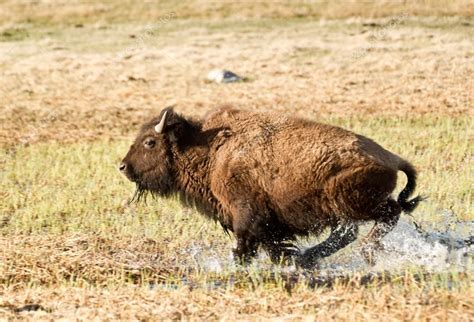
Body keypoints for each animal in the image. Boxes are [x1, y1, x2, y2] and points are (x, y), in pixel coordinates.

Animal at [119, 107, 422, 268]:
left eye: (150, 142)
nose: (123, 167)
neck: (210, 148)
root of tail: (392, 158)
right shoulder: (264, 224)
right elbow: (272, 245)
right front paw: (289, 259)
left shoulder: (246, 214)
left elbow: (245, 245)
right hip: (343, 209)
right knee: (348, 232)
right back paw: (308, 258)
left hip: (354, 203)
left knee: (385, 217)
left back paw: (364, 252)